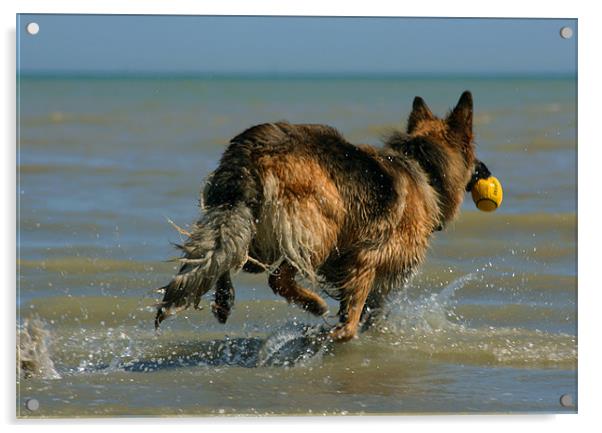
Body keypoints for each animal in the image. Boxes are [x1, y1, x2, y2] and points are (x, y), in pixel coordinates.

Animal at [152, 91, 490, 340]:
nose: (485, 170)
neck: (423, 167)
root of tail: (251, 150)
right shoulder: (370, 258)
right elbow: (357, 311)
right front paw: (343, 331)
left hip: (247, 219)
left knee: (227, 254)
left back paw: (224, 300)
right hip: (320, 229)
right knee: (277, 277)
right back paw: (314, 306)